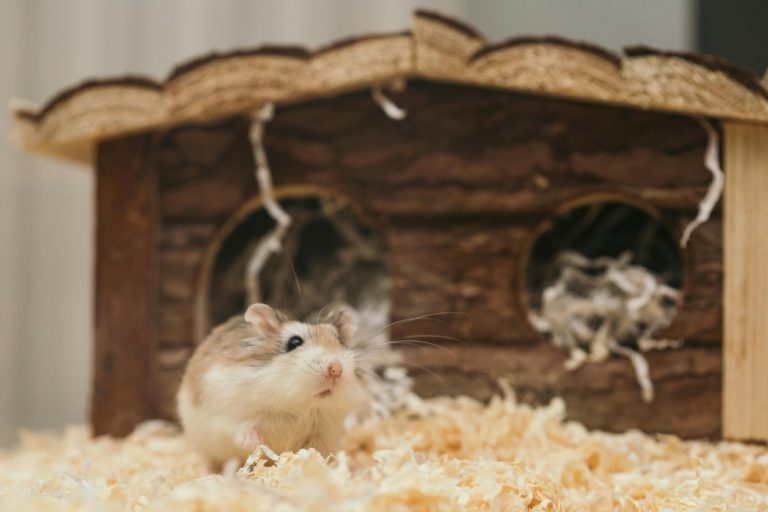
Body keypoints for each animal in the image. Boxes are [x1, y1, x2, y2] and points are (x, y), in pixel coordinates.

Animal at [177, 303, 368, 468]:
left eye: (339, 341)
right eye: (294, 342)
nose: (336, 369)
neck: (299, 405)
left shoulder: (324, 432)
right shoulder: (225, 414)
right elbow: (240, 429)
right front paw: (256, 443)